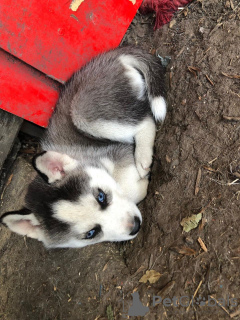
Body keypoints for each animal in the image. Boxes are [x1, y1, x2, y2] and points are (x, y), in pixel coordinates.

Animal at [0, 47, 166, 248]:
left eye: (101, 196)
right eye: (91, 233)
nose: (135, 225)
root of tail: (111, 56)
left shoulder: (112, 154)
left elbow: (130, 188)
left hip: (84, 113)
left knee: (146, 121)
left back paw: (143, 158)